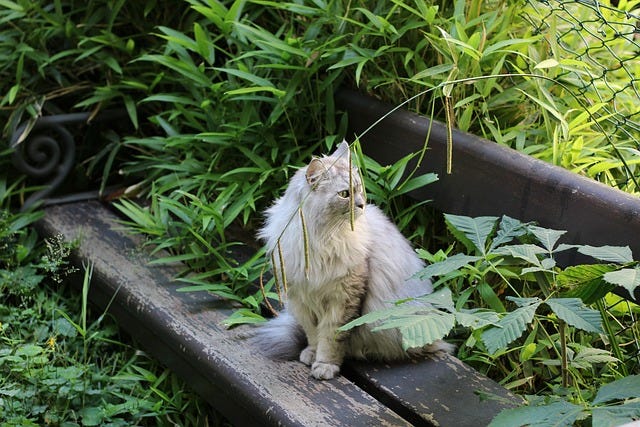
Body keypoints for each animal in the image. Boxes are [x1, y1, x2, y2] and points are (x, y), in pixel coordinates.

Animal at [252, 141, 452, 382]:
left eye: (359, 189)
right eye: (345, 194)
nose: (362, 205)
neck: (319, 238)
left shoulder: (343, 299)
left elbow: (330, 338)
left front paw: (325, 366)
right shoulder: (301, 298)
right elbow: (313, 334)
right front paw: (311, 354)